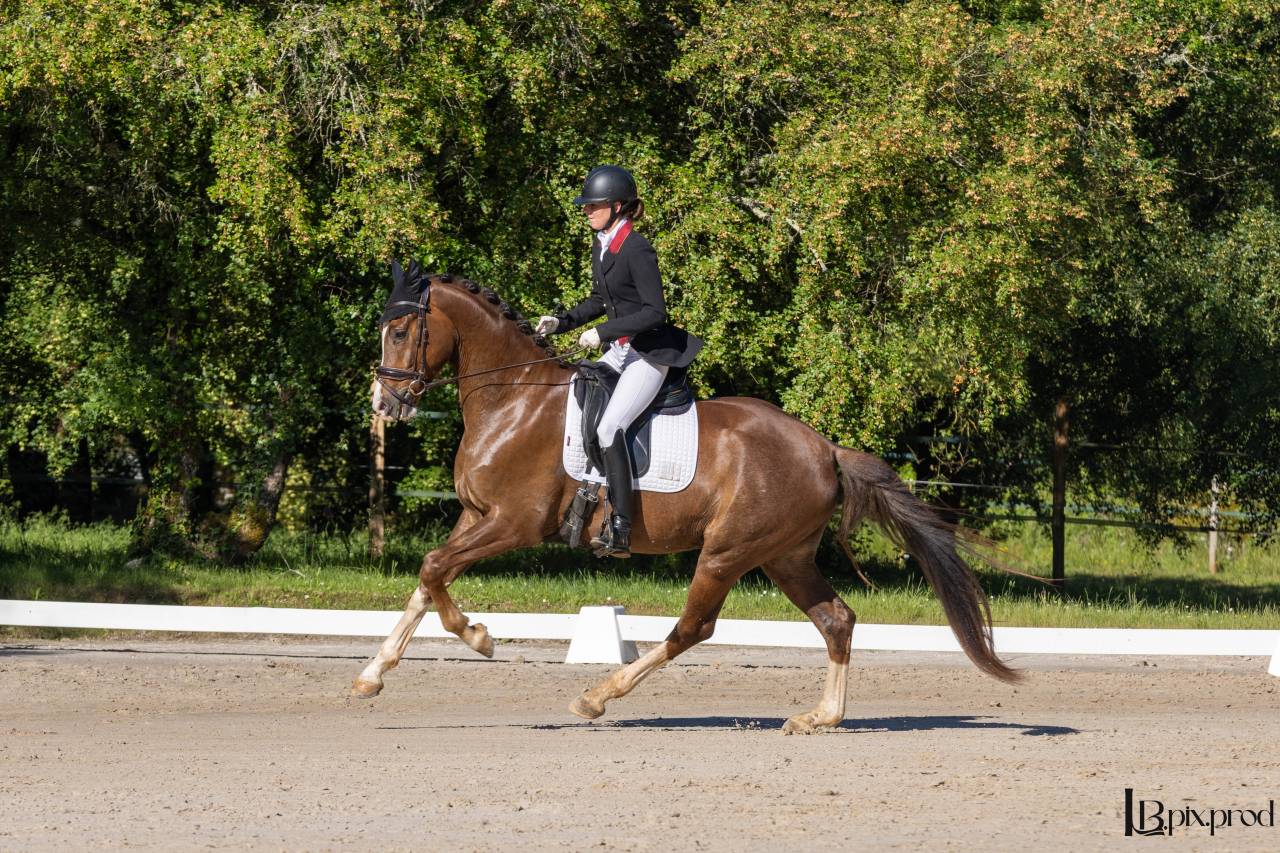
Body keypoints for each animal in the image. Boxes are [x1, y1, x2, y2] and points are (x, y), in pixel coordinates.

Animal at [354, 268, 1019, 733]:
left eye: (403, 331)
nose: (385, 405)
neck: (514, 398)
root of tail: (824, 448)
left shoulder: (513, 523)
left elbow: (434, 571)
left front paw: (478, 638)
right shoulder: (476, 516)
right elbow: (428, 580)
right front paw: (370, 676)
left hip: (728, 551)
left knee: (694, 626)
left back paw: (597, 696)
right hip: (785, 555)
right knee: (836, 619)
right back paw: (819, 717)